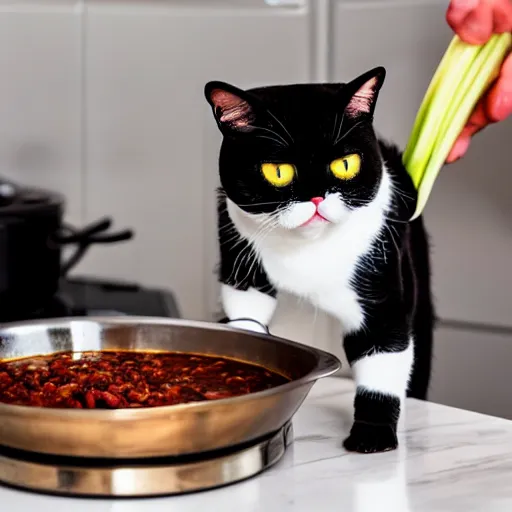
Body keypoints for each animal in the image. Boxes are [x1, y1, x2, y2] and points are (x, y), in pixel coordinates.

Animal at [206, 67, 434, 452]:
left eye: (345, 164)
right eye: (277, 171)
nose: (315, 198)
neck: (308, 250)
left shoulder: (383, 277)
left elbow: (384, 349)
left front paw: (372, 436)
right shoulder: (238, 253)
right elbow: (247, 311)